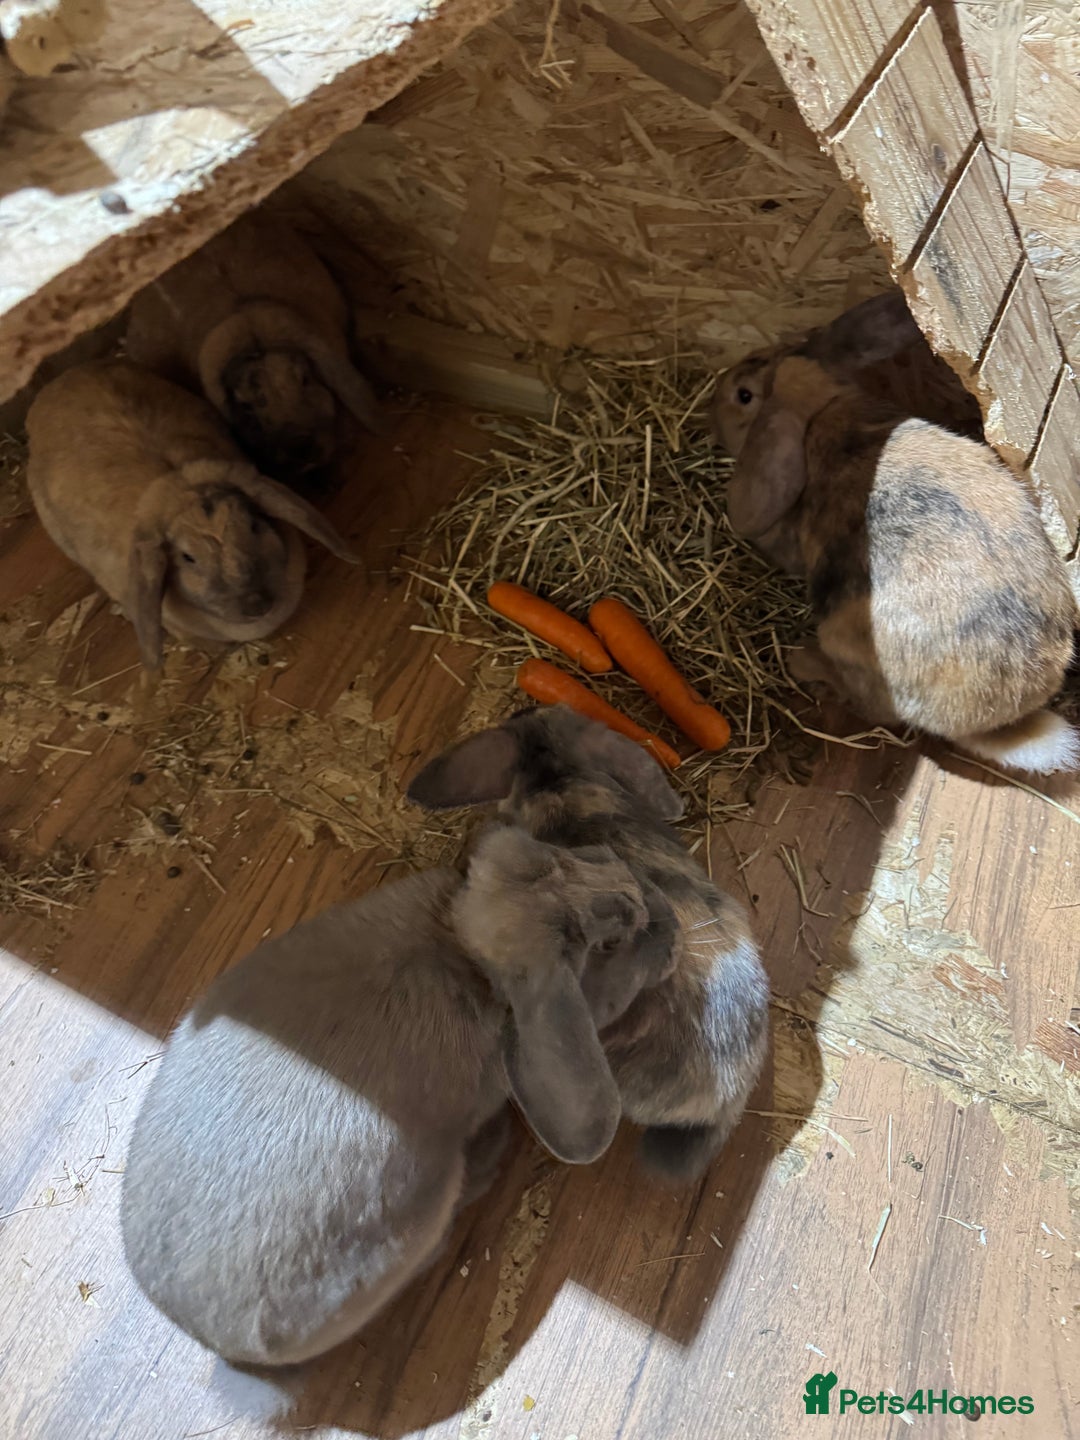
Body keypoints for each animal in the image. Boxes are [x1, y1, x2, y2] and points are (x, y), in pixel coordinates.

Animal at [712, 293, 1080, 774]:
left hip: (843, 642)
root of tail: (996, 718)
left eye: (744, 395)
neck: (824, 405)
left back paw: (803, 661)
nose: (715, 398)